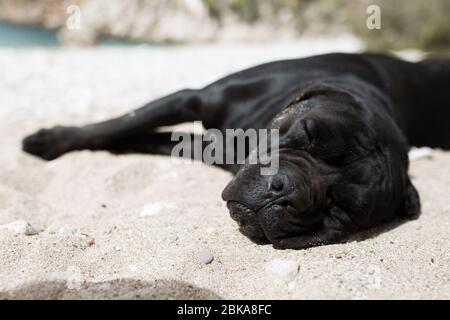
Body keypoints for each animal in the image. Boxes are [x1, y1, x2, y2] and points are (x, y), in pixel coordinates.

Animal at [22, 53, 450, 250]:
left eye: (339, 211)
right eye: (308, 134)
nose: (284, 190)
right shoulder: (196, 98)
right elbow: (123, 124)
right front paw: (51, 141)